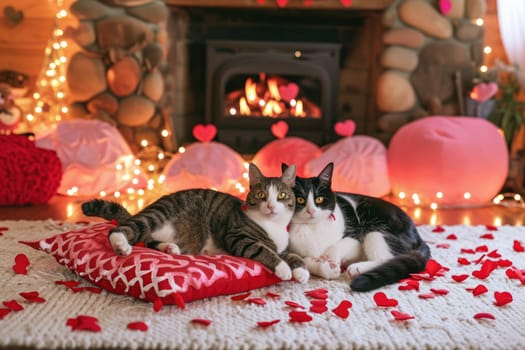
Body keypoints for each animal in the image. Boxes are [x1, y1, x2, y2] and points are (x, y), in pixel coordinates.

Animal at [82, 163, 310, 284]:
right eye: (262, 195)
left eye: (281, 195)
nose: (271, 206)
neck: (273, 226)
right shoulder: (238, 237)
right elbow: (264, 250)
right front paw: (283, 269)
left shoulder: (282, 246)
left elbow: (292, 254)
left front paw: (301, 271)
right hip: (159, 213)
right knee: (121, 229)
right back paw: (121, 245)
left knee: (147, 240)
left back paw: (169, 247)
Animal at [284, 163, 428, 292]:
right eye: (300, 200)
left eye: (319, 199)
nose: (311, 211)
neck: (312, 227)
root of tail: (417, 234)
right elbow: (305, 260)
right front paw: (327, 269)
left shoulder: (355, 239)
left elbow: (338, 246)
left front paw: (331, 260)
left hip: (376, 230)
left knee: (386, 258)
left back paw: (357, 268)